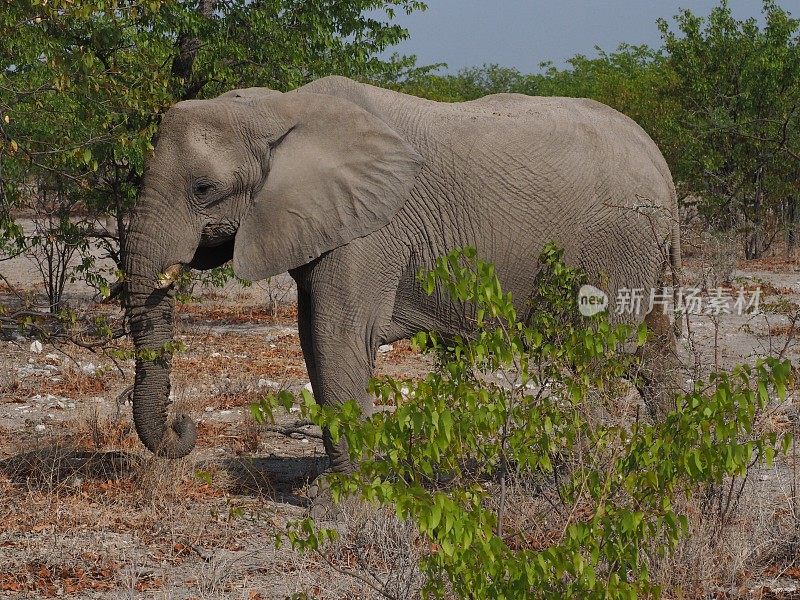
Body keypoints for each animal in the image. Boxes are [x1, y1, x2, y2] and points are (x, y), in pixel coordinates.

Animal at [123, 74, 680, 478]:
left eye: (203, 188)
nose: (184, 424)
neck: (278, 108)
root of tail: (661, 164)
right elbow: (311, 337)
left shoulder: (371, 228)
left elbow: (338, 336)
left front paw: (342, 502)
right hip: (644, 247)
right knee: (655, 351)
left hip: (620, 238)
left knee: (599, 352)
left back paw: (586, 476)